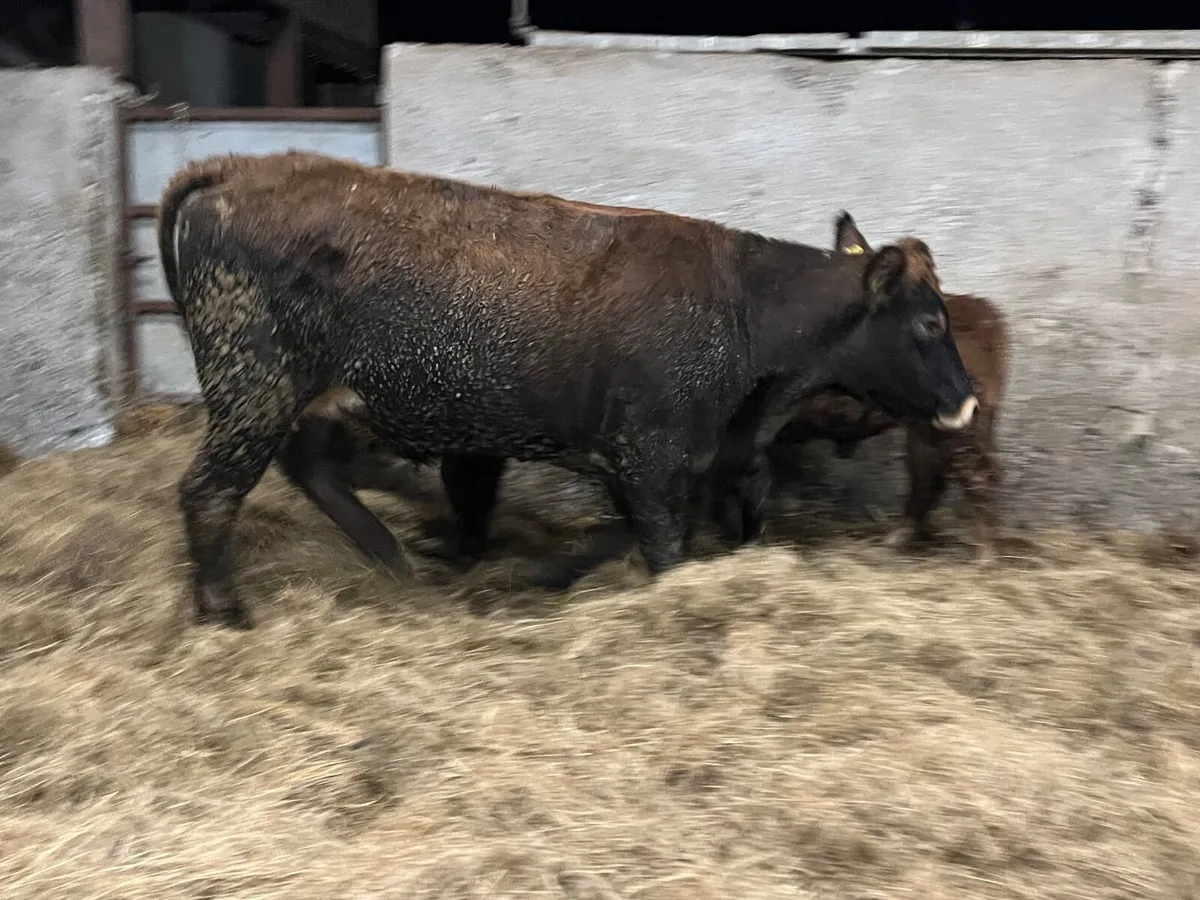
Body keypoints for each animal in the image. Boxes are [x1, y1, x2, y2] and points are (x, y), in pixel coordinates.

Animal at [157, 150, 978, 629]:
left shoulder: (667, 460)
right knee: (211, 490)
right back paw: (225, 609)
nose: (966, 401)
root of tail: (236, 167)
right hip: (254, 389)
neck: (746, 306)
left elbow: (636, 530)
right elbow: (663, 548)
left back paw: (392, 557)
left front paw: (540, 570)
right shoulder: (651, 457)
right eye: (930, 320)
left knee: (309, 465)